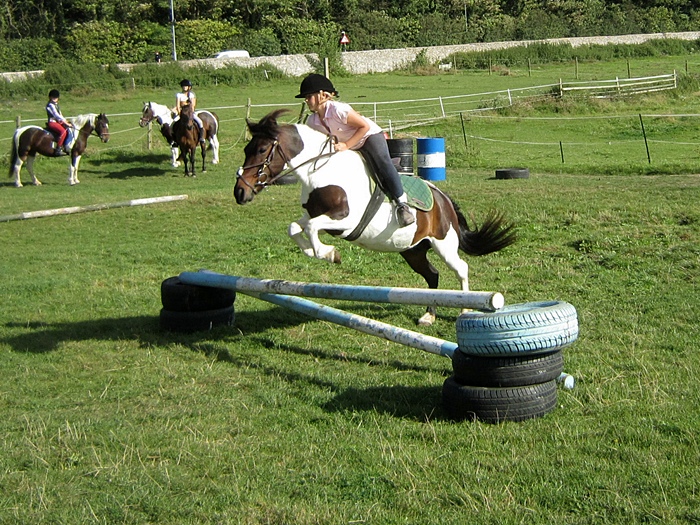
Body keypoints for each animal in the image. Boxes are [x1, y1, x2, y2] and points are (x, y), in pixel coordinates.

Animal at [234, 109, 517, 326]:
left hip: (443, 243)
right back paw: (428, 316)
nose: (240, 192)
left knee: (461, 269)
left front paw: (329, 254)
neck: (321, 171)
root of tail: (442, 198)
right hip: (413, 250)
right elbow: (294, 227)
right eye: (247, 148)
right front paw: (314, 251)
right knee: (432, 275)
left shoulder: (344, 222)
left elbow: (313, 228)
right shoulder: (314, 215)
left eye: (261, 149)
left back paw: (465, 309)